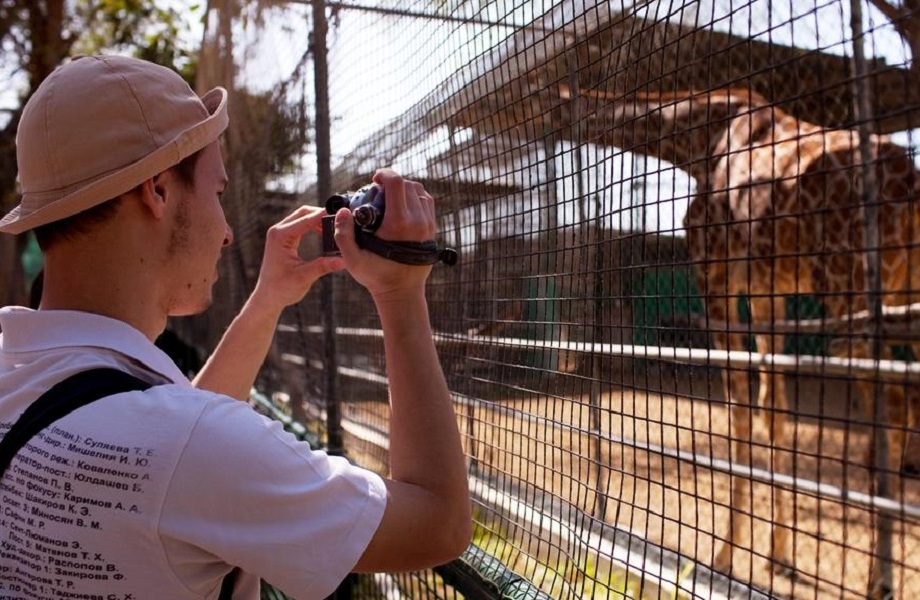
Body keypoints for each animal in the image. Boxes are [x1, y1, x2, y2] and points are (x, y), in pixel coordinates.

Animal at [560, 83, 920, 592]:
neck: (691, 142)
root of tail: (911, 188)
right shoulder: (770, 291)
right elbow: (775, 410)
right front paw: (779, 555)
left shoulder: (716, 276)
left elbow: (739, 410)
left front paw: (723, 557)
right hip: (906, 288)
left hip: (851, 292)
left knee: (889, 410)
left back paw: (880, 582)